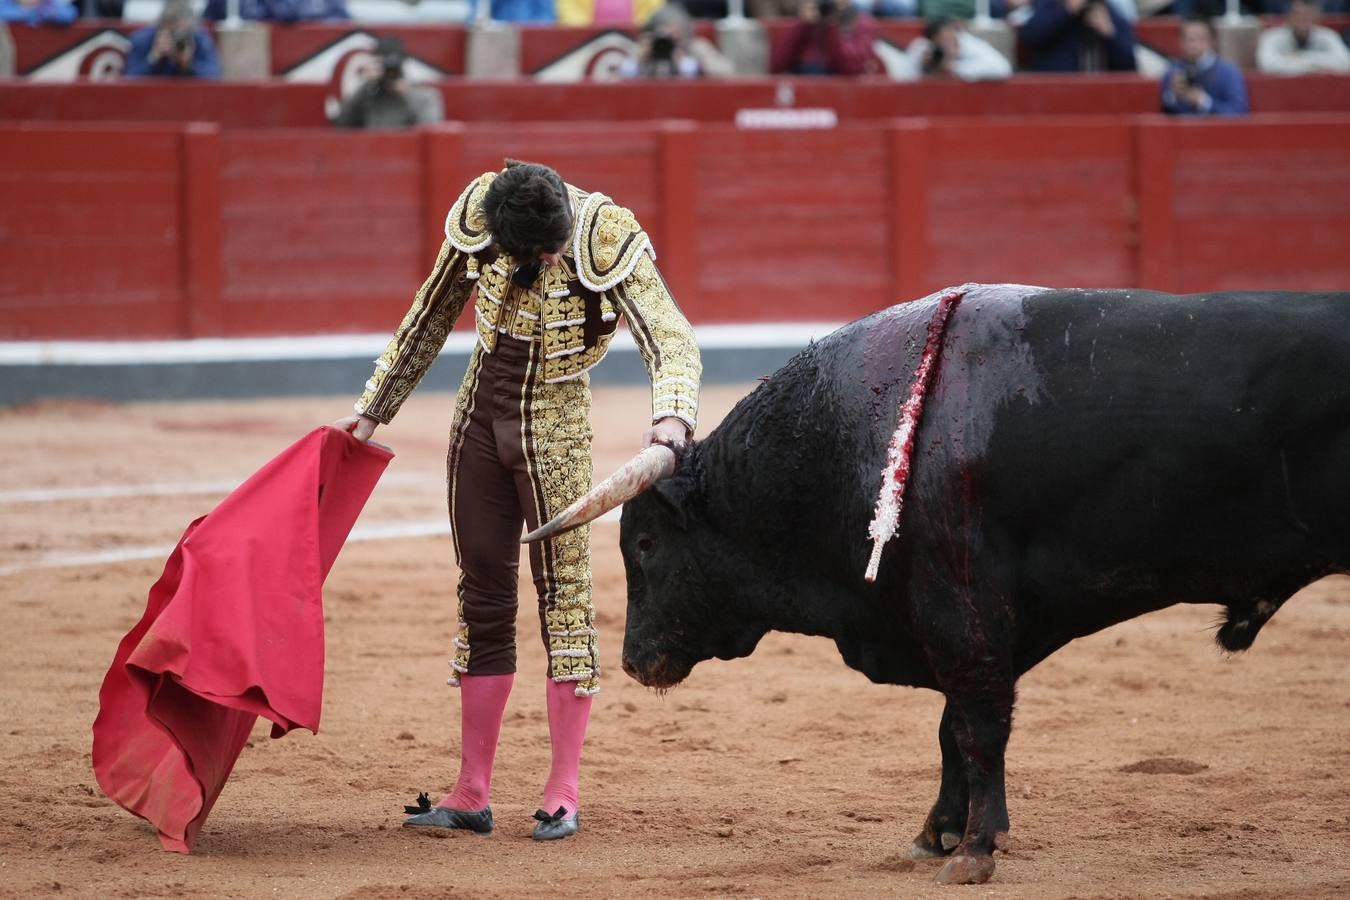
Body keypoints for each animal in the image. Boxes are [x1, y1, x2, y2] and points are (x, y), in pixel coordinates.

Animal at [618, 287, 1350, 885]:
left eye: (647, 544)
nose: (631, 661)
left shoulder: (960, 610)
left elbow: (977, 726)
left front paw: (975, 848)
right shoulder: (969, 623)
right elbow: (953, 726)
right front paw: (937, 832)